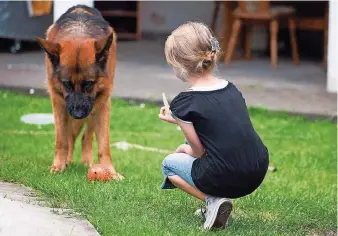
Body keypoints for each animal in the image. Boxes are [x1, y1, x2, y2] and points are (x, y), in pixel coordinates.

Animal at [36, 4, 123, 180]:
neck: (79, 34)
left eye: (89, 83)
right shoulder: (59, 102)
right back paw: (68, 160)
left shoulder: (102, 102)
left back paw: (86, 161)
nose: (78, 114)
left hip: (94, 107)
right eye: (66, 84)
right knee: (70, 136)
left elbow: (104, 143)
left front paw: (109, 170)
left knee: (85, 136)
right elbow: (61, 140)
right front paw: (59, 166)